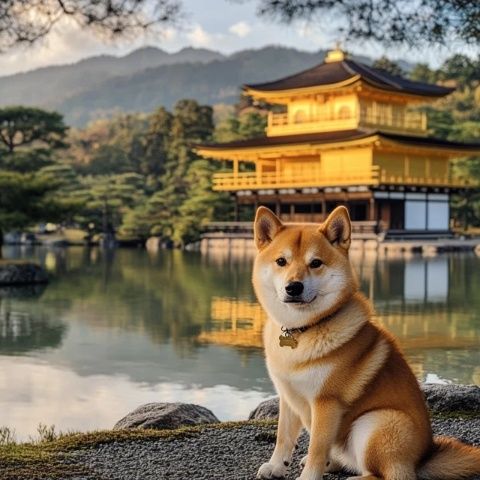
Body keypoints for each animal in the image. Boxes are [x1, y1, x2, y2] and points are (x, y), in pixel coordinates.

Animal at [253, 204, 478, 478]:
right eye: (281, 262)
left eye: (315, 263)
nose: (293, 287)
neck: (303, 329)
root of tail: (423, 457)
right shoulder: (288, 396)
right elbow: (283, 438)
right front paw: (276, 466)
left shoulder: (326, 403)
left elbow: (317, 446)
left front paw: (309, 475)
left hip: (376, 421)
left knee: (389, 473)